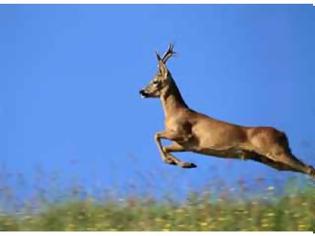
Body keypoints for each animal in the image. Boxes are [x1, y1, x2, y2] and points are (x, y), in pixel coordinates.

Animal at [140, 44, 315, 178]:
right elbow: (166, 147)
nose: (141, 91)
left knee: (309, 168)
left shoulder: (183, 133)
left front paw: (175, 162)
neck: (175, 112)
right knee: (304, 169)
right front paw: (186, 164)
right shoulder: (186, 145)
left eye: (155, 81)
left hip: (276, 151)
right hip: (270, 160)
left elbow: (156, 135)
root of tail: (283, 134)